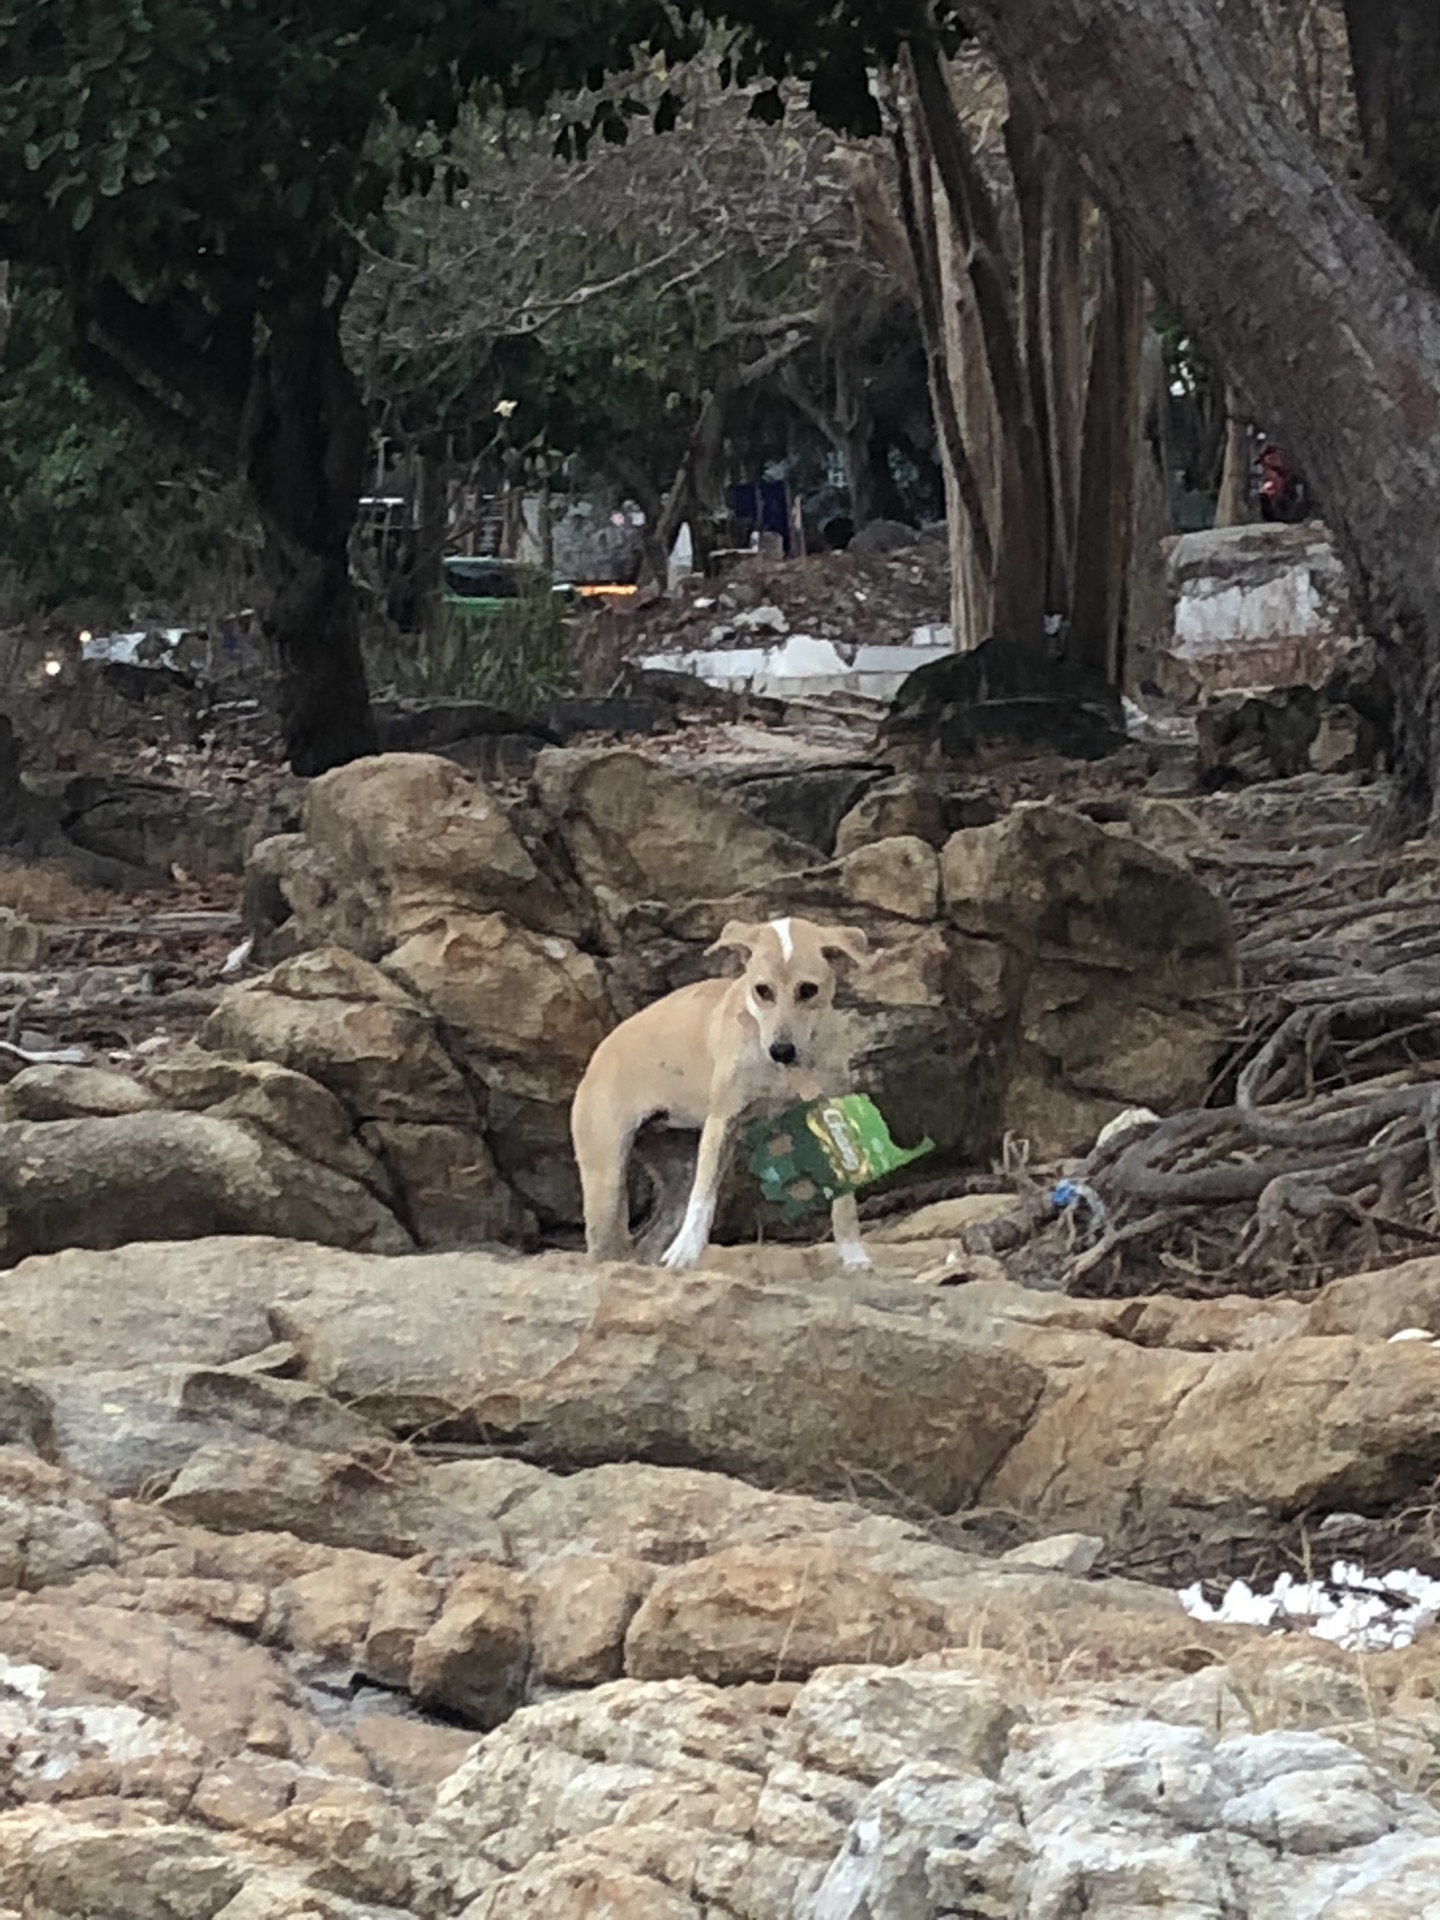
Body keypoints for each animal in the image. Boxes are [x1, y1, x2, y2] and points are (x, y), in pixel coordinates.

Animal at [572, 917, 867, 1267]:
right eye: (762, 990)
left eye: (808, 990)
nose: (781, 1050)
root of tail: (599, 1054)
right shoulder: (721, 1122)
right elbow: (704, 1196)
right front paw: (685, 1252)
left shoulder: (830, 1115)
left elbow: (845, 1199)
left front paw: (854, 1254)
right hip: (607, 1177)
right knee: (606, 1247)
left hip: (676, 1173)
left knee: (648, 1240)